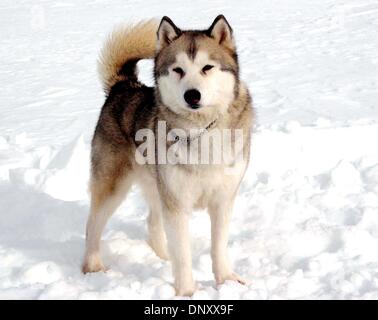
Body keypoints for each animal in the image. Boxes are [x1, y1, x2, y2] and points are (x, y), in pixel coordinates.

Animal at [82, 13, 254, 296]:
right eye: (178, 70)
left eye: (207, 67)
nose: (192, 94)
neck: (201, 131)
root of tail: (123, 86)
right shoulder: (177, 203)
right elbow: (183, 255)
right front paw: (187, 292)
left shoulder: (223, 199)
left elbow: (218, 246)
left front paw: (226, 281)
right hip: (113, 186)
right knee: (92, 225)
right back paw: (92, 267)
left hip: (157, 185)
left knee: (152, 223)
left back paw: (162, 258)